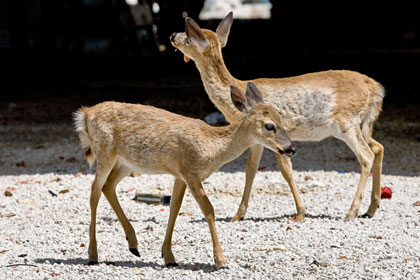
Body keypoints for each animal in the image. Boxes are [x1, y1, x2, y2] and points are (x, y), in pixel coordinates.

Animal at [73, 82, 296, 268]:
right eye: (269, 125)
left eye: (282, 120)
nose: (291, 148)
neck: (212, 147)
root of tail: (85, 114)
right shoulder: (190, 171)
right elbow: (209, 210)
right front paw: (221, 260)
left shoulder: (179, 175)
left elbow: (174, 208)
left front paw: (169, 257)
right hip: (104, 151)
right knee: (94, 191)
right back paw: (93, 255)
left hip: (125, 162)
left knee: (107, 186)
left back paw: (133, 245)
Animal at [170, 11, 384, 223]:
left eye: (188, 38)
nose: (172, 35)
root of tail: (377, 89)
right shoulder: (256, 139)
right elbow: (250, 171)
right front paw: (238, 216)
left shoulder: (279, 136)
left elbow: (286, 171)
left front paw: (300, 213)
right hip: (361, 125)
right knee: (378, 148)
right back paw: (370, 209)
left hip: (347, 122)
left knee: (366, 155)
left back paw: (352, 212)